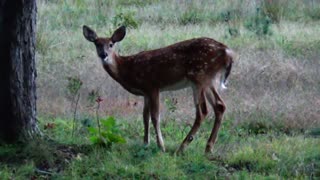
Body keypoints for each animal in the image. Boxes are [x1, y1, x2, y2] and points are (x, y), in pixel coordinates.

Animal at [84, 25, 235, 154]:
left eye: (111, 44)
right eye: (97, 43)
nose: (104, 54)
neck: (127, 69)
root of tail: (227, 53)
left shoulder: (153, 86)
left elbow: (155, 116)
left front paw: (161, 146)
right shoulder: (145, 92)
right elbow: (145, 116)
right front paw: (145, 143)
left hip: (199, 77)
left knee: (202, 112)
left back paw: (181, 148)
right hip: (209, 80)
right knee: (220, 106)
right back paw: (208, 148)